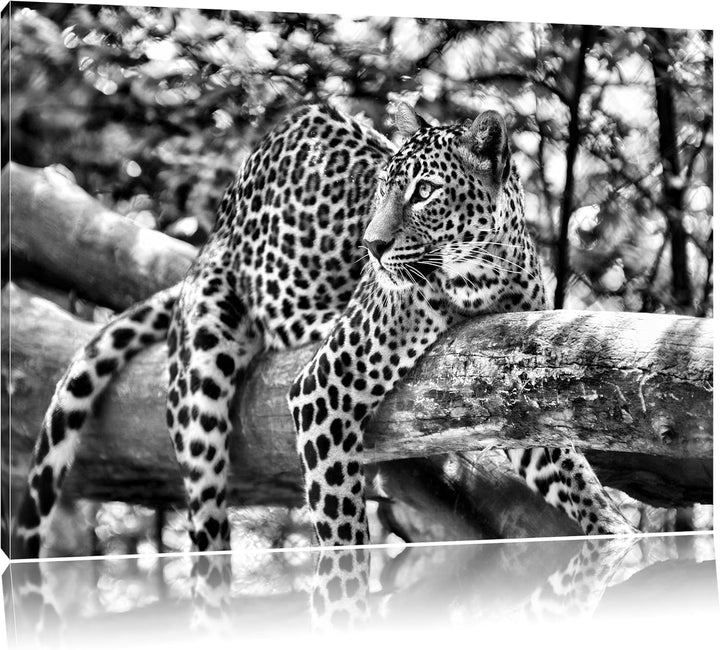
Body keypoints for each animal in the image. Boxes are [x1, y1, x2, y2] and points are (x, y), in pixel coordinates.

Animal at [12, 101, 636, 562]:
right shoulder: (323, 389)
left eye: (424, 192)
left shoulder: (513, 393)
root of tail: (213, 234)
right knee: (206, 522)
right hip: (202, 377)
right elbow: (342, 533)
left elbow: (572, 472)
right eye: (383, 187)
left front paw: (619, 531)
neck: (483, 276)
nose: (372, 246)